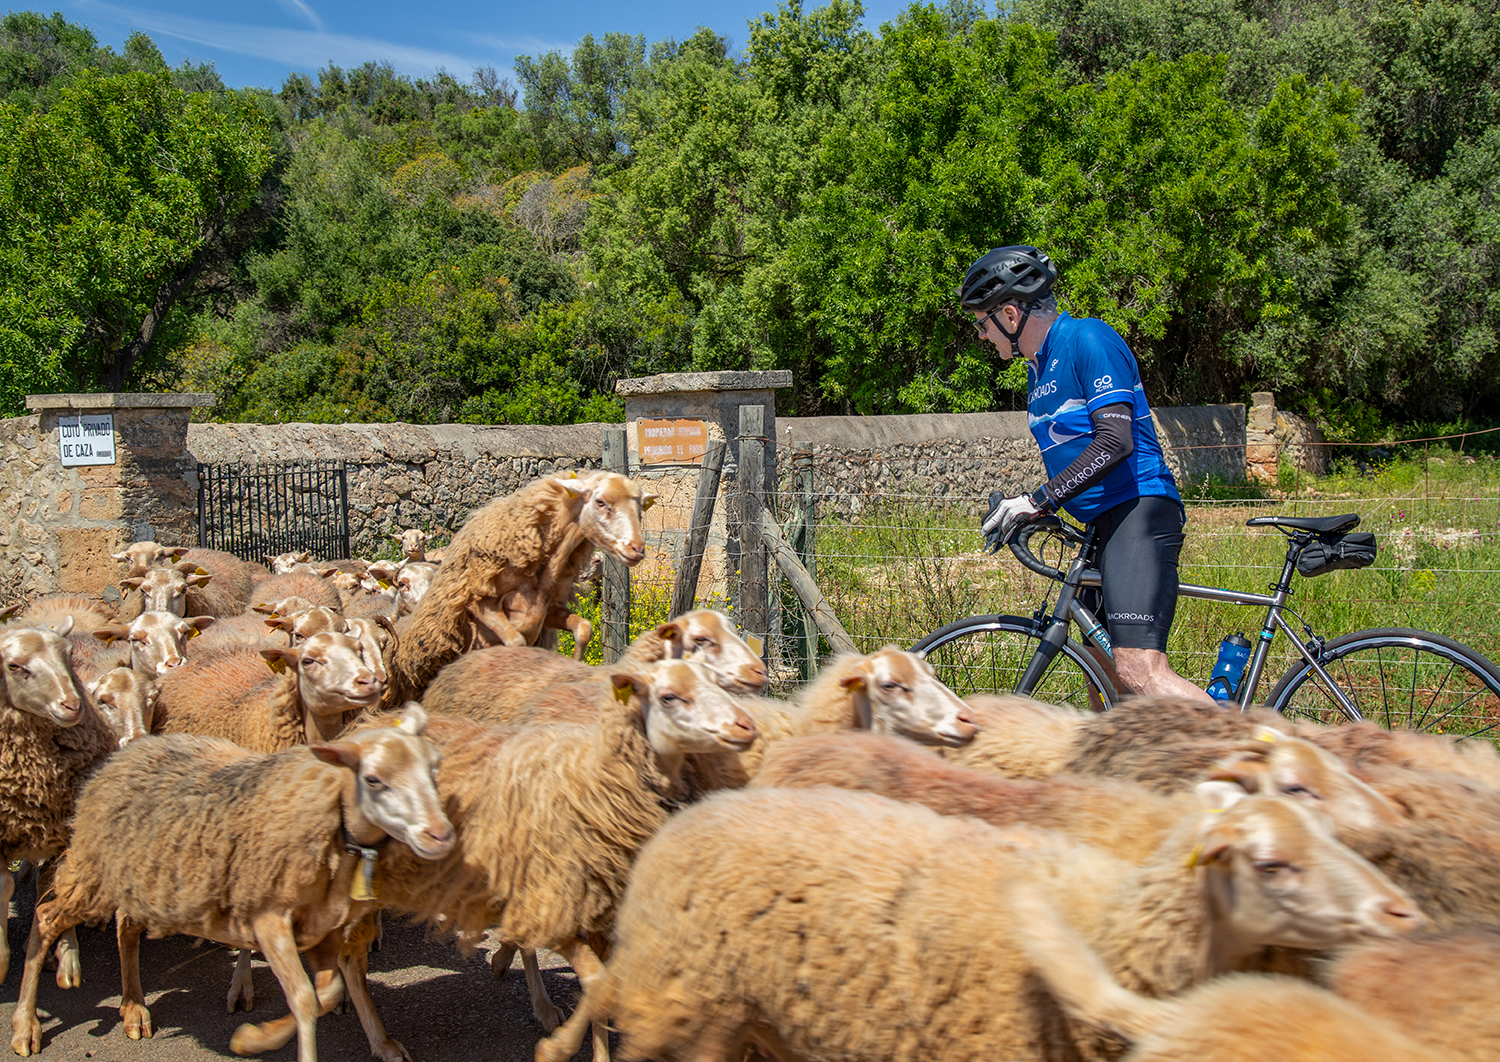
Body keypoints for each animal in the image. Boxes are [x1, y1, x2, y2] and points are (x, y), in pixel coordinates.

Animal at [8, 704, 454, 1062]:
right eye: (374, 780)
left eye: (434, 767)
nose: (441, 834)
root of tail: (128, 750)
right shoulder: (269, 920)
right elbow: (305, 999)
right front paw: (255, 1040)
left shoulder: (323, 928)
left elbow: (327, 994)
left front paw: (262, 1037)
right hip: (93, 873)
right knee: (47, 917)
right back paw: (26, 1024)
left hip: (144, 878)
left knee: (126, 927)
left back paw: (133, 1005)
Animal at [383, 470, 654, 705]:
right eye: (600, 502)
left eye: (640, 507)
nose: (637, 548)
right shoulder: (481, 604)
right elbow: (516, 642)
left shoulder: (547, 611)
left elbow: (584, 628)